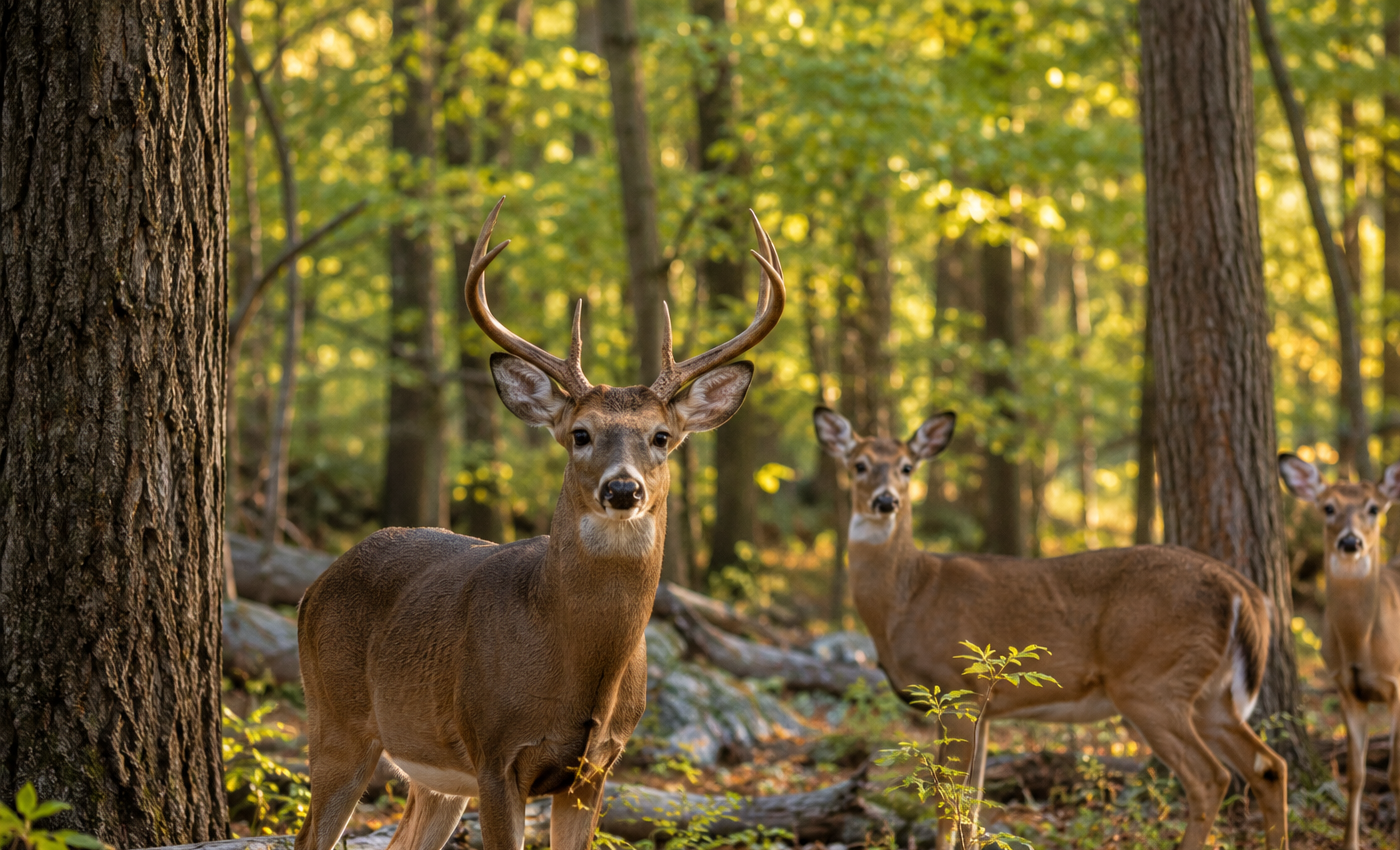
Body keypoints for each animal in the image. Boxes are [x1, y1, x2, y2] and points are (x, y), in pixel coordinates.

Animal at [292, 198, 785, 850]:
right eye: (580, 434)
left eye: (662, 437)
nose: (622, 488)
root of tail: (315, 585)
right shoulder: (496, 752)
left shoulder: (595, 769)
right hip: (337, 719)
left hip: (435, 774)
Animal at [813, 407, 1289, 850]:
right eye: (859, 464)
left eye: (907, 466)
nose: (886, 501)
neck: (907, 599)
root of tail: (1243, 590)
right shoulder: (984, 707)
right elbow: (972, 803)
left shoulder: (956, 688)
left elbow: (949, 804)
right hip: (1211, 694)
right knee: (1268, 766)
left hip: (1151, 679)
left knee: (1210, 777)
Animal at [1278, 453, 1400, 850]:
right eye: (1328, 507)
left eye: (1374, 508)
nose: (1350, 542)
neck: (1361, 644)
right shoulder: (1347, 689)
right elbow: (1356, 775)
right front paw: (1350, 842)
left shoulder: (1398, 685)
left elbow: (1394, 773)